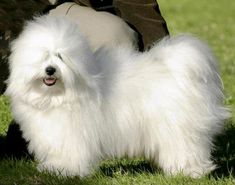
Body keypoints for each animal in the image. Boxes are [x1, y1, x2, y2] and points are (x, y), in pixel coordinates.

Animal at [5, 15, 229, 178]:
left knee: (187, 149)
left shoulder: (72, 134)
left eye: (60, 56)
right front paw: (53, 168)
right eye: (43, 56)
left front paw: (66, 171)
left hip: (179, 129)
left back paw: (190, 172)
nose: (50, 70)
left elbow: (70, 153)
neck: (57, 96)